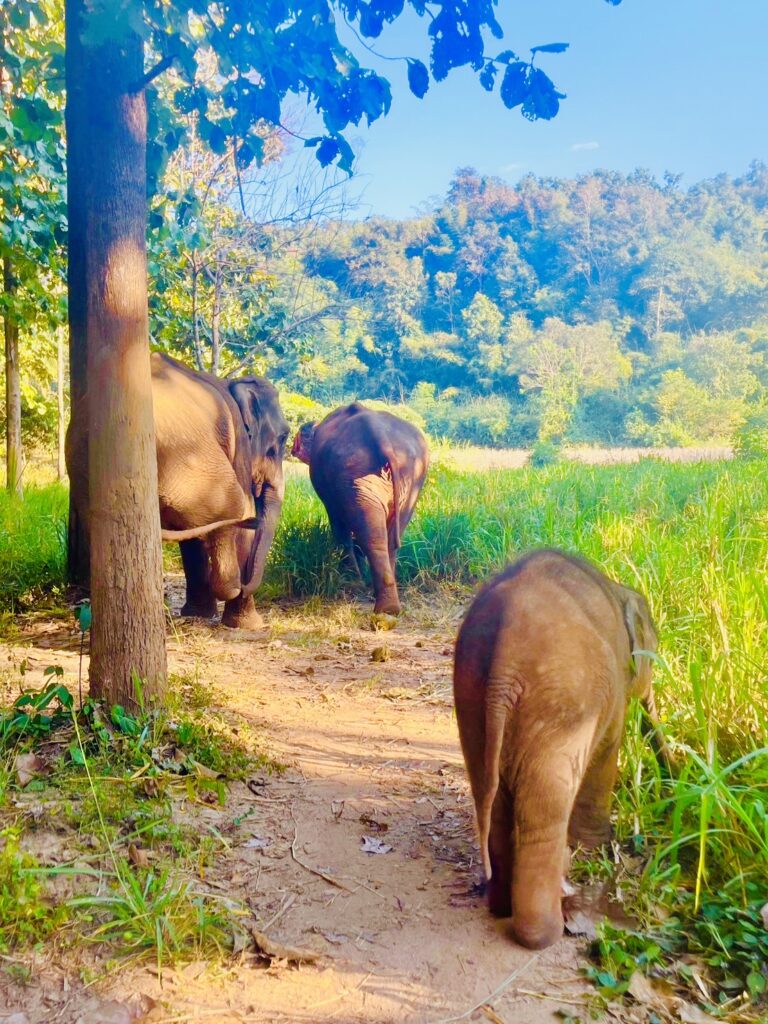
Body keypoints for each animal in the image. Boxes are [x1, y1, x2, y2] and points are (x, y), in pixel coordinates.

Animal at [67, 354, 290, 630]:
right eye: (282, 439)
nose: (246, 585)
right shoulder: (239, 450)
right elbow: (242, 522)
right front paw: (249, 624)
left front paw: (199, 614)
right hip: (188, 454)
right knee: (231, 508)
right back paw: (229, 586)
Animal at [290, 403, 430, 614]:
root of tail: (379, 433)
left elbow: (337, 522)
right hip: (409, 479)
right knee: (388, 536)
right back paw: (387, 604)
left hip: (351, 475)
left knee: (370, 534)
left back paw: (361, 588)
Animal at [454, 552, 671, 950]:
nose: (673, 777)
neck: (619, 588)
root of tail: (505, 655)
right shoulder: (614, 692)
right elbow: (607, 752)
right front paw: (601, 844)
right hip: (561, 703)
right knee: (545, 805)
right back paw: (545, 930)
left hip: (472, 697)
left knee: (492, 794)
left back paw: (501, 905)